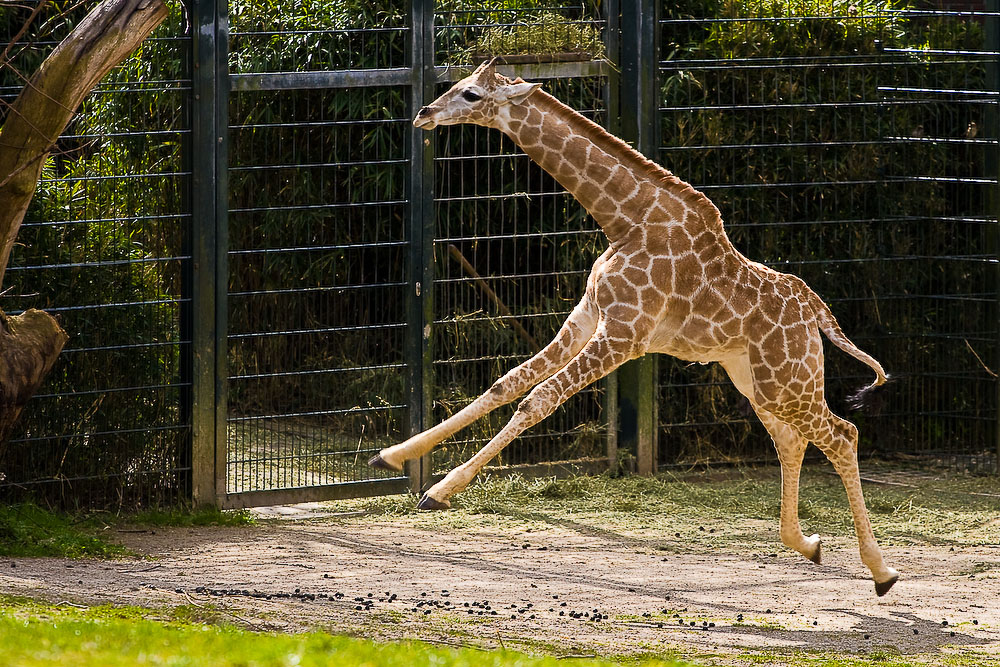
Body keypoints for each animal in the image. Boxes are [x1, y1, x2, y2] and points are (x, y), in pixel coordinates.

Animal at [370, 60, 900, 596]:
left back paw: (882, 571)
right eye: (456, 84)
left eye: (472, 95)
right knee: (793, 441)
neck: (627, 221)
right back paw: (807, 544)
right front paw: (392, 458)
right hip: (760, 382)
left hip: (787, 381)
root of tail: (817, 315)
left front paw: (438, 489)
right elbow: (506, 383)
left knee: (843, 434)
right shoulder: (587, 317)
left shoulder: (624, 335)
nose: (424, 113)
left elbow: (538, 398)